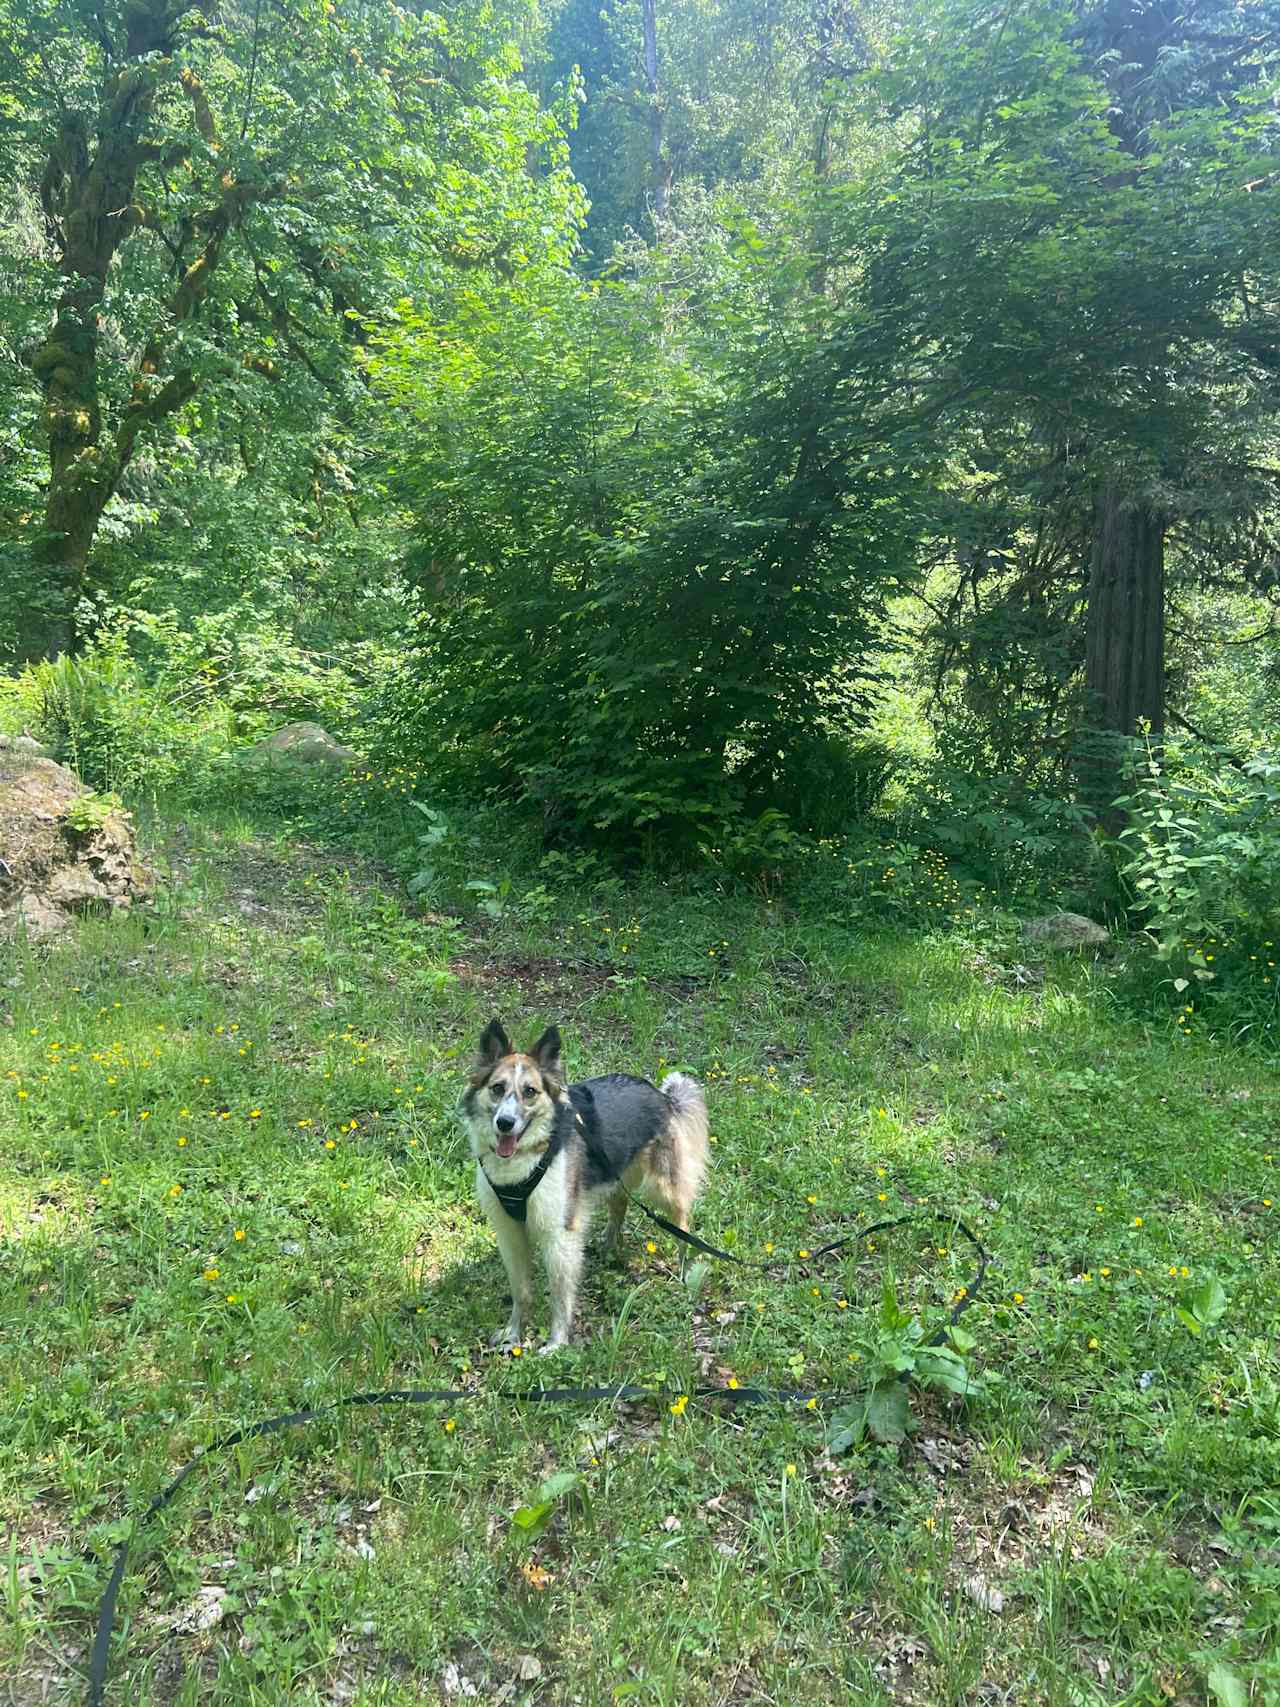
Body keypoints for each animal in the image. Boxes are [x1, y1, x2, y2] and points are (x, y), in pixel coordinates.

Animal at [457, 1017, 713, 1351]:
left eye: (530, 1092)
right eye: (497, 1088)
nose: (505, 1123)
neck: (529, 1156)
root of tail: (662, 1095)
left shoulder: (559, 1235)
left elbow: (559, 1296)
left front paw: (556, 1344)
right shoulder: (510, 1233)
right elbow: (521, 1291)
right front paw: (514, 1333)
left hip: (663, 1186)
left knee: (682, 1221)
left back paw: (683, 1268)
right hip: (616, 1174)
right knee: (620, 1204)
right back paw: (607, 1247)